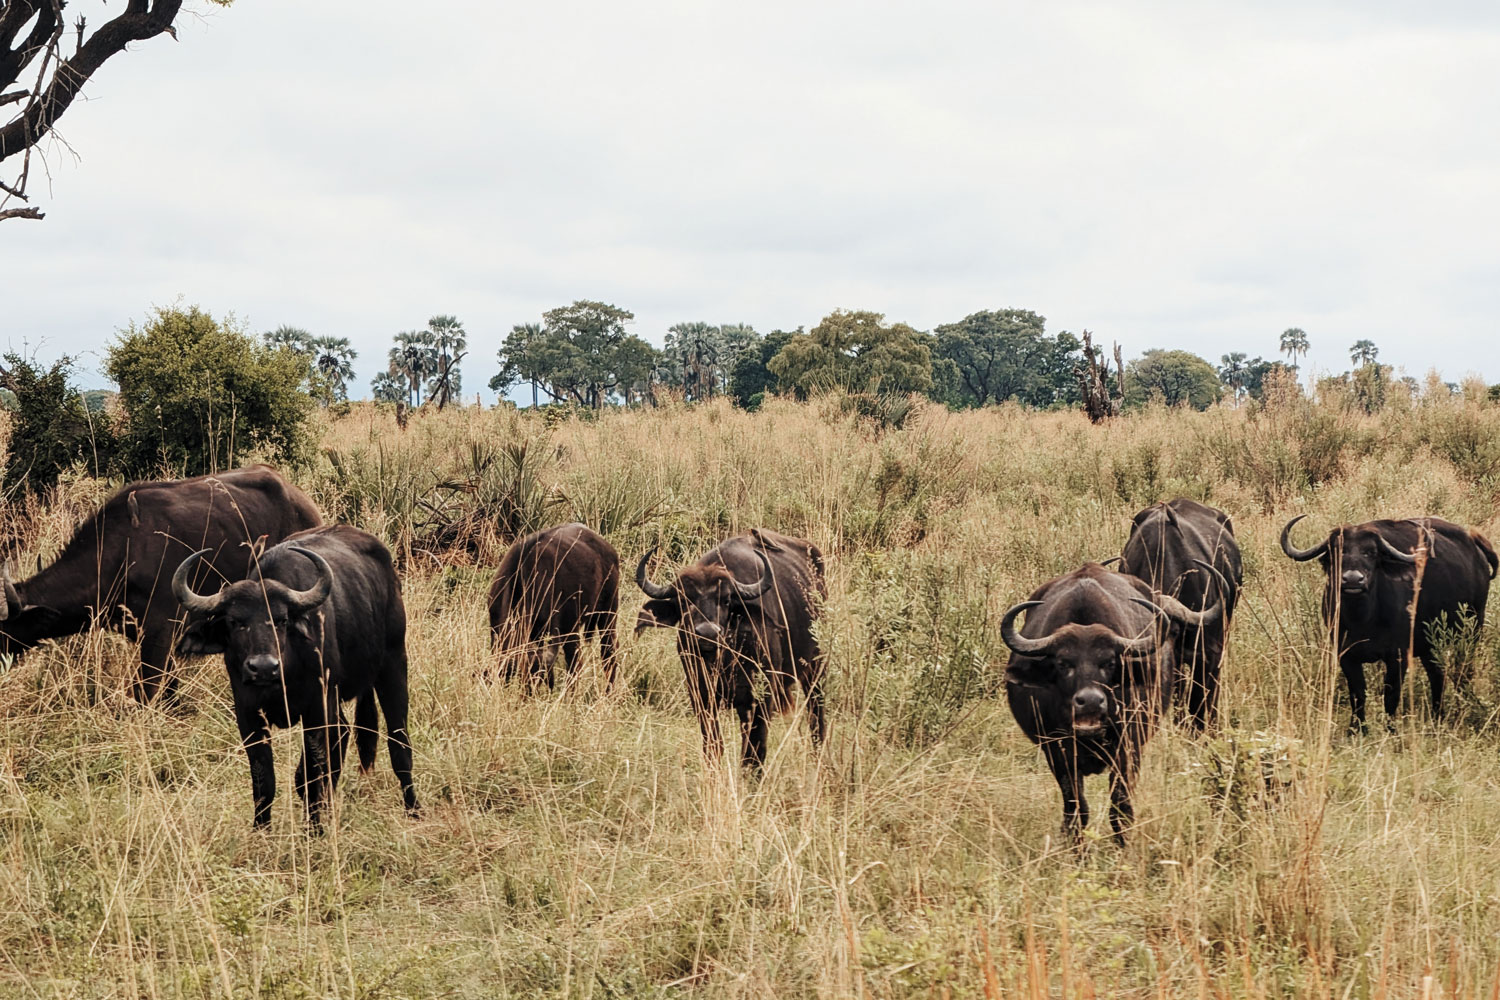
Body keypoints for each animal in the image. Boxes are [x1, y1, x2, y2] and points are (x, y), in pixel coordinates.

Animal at [172, 525, 419, 829]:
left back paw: (413, 809)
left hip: (393, 662)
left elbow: (311, 774)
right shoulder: (249, 715)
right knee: (343, 735)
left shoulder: (316, 709)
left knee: (399, 743)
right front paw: (261, 829)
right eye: (234, 622)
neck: (283, 676)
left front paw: (314, 829)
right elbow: (264, 780)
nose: (263, 667)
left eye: (282, 620)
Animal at [488, 522, 620, 688]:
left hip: (608, 614)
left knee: (608, 654)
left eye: (535, 678)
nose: (528, 694)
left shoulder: (567, 629)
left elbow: (574, 666)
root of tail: (609, 550)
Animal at [635, 529, 826, 768]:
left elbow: (755, 751)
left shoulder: (760, 697)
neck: (724, 661)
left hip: (816, 668)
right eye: (684, 601)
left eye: (726, 600)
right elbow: (713, 744)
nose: (707, 633)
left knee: (817, 717)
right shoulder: (702, 696)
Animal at [1002, 562, 1223, 841]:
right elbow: (1076, 809)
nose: (1090, 701)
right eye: (1063, 664)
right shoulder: (1056, 751)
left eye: (1108, 663)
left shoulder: (1129, 748)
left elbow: (1120, 807)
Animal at [1281, 515, 1496, 730]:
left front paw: (1390, 729)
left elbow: (1391, 695)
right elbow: (1357, 693)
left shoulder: (1398, 656)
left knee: (1463, 672)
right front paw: (1356, 729)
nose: (1353, 580)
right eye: (1339, 550)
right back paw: (1437, 717)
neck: (1363, 621)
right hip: (1429, 646)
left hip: (1471, 630)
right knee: (1438, 675)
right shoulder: (1345, 654)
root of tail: (1474, 542)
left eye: (1371, 553)